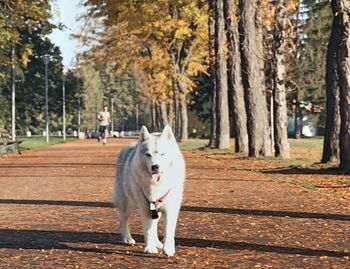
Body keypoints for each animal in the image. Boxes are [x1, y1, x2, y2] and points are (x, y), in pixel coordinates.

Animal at [114, 124, 186, 254]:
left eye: (163, 154)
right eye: (148, 154)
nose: (155, 167)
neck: (157, 185)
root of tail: (130, 146)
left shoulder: (170, 207)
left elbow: (168, 230)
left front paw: (168, 249)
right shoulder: (145, 208)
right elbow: (148, 230)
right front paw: (150, 248)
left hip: (155, 211)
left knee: (155, 224)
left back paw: (157, 243)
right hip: (128, 204)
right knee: (123, 220)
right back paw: (127, 238)